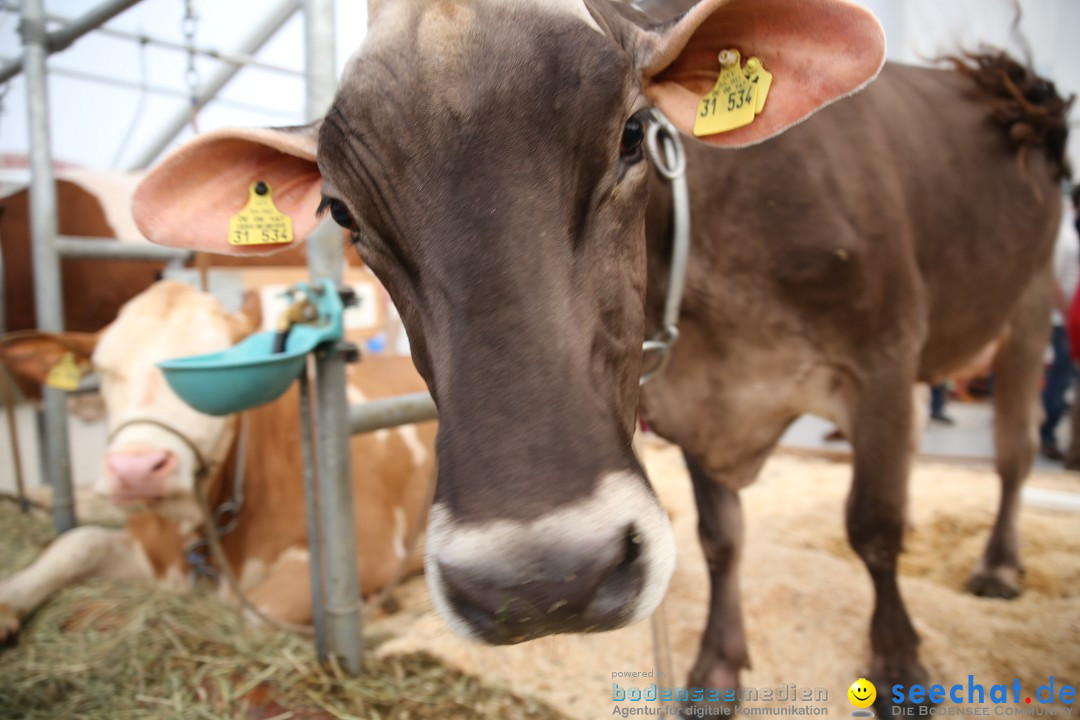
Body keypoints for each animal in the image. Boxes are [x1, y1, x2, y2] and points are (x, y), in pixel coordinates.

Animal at [2, 280, 438, 643]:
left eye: (212, 371)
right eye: (104, 370)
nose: (135, 470)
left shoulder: (366, 550)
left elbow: (257, 612)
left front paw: (379, 613)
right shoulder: (155, 550)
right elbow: (77, 542)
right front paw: (8, 600)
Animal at [128, 0, 1071, 712]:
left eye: (630, 135)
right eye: (342, 212)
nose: (543, 579)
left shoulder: (882, 365)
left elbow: (874, 528)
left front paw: (901, 665)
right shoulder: (689, 404)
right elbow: (722, 540)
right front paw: (715, 669)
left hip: (1033, 305)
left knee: (1016, 452)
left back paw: (998, 565)